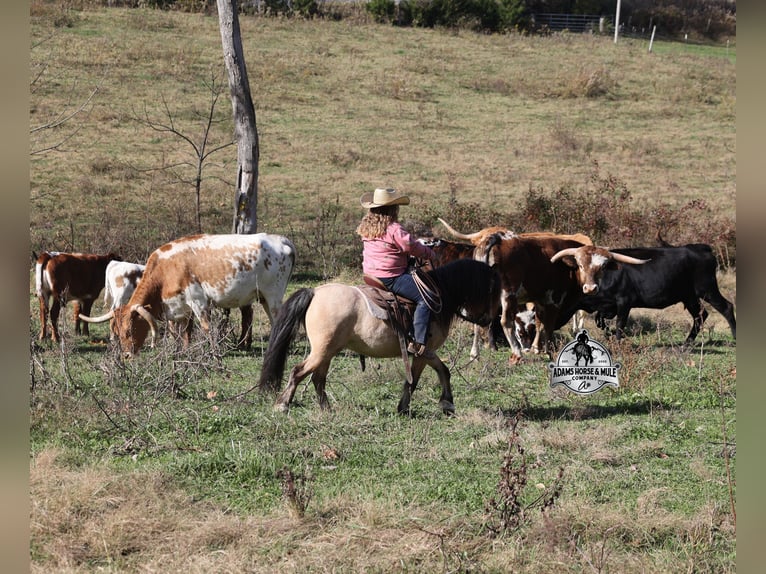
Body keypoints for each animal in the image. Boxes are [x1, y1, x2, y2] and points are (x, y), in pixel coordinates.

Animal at [257, 258, 502, 415]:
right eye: (492, 289)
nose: (489, 321)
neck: (439, 296)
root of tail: (315, 292)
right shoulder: (421, 351)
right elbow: (413, 381)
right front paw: (404, 408)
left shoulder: (428, 352)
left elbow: (444, 371)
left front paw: (447, 404)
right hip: (322, 350)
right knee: (299, 372)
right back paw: (283, 405)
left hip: (327, 351)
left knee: (318, 378)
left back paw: (326, 409)